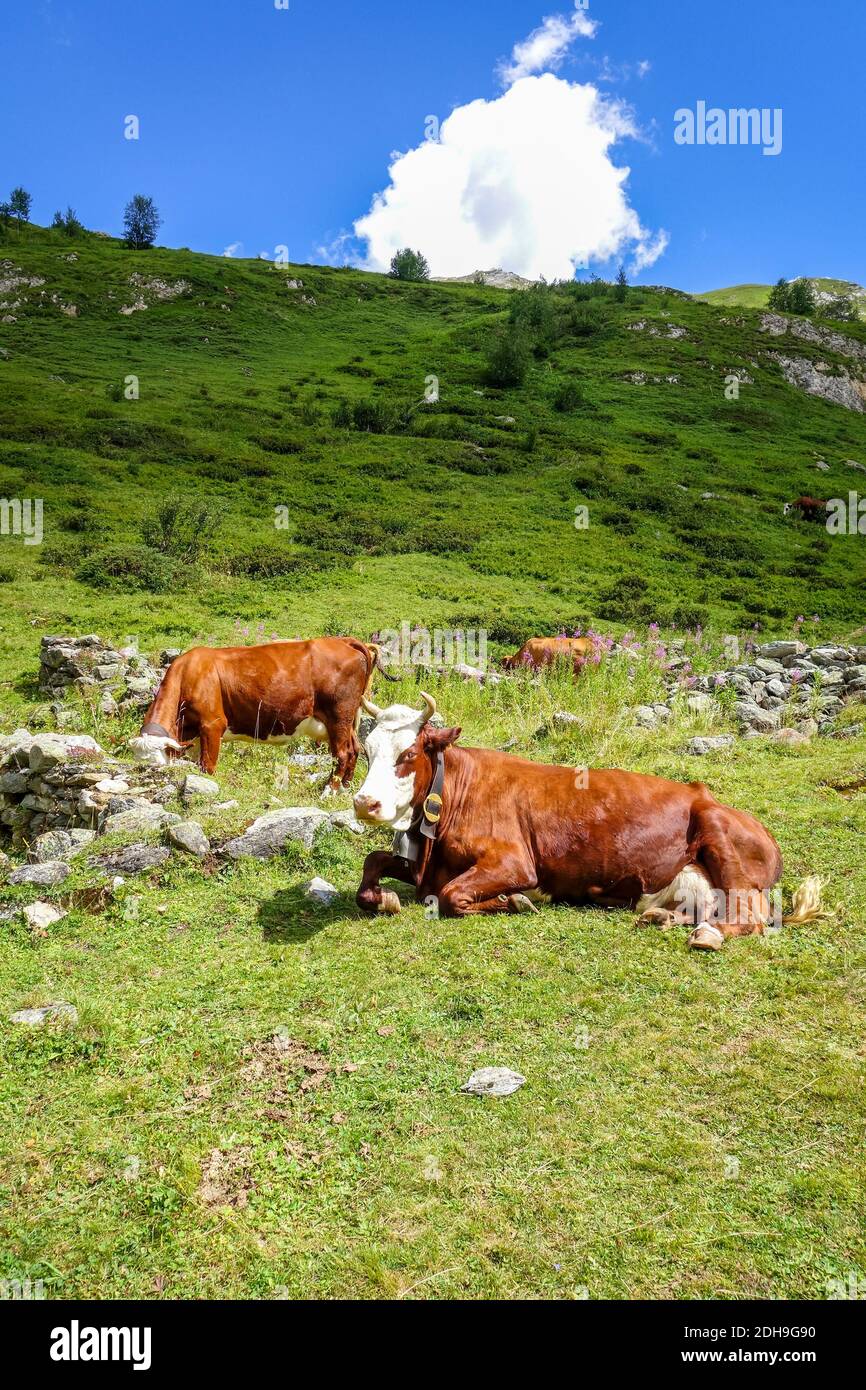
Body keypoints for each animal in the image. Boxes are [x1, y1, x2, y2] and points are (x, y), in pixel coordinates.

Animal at [131, 636, 386, 795]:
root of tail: (343, 640)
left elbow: (208, 766)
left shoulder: (212, 725)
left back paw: (329, 791)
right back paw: (343, 788)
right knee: (354, 749)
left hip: (338, 715)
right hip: (345, 721)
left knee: (343, 753)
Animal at [354, 692, 828, 950]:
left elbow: (453, 896)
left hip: (722, 839)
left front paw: (517, 900)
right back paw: (662, 919)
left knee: (750, 917)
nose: (363, 803)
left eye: (408, 754)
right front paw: (385, 897)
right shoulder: (424, 867)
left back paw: (707, 934)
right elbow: (372, 863)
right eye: (366, 751)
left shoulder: (513, 862)